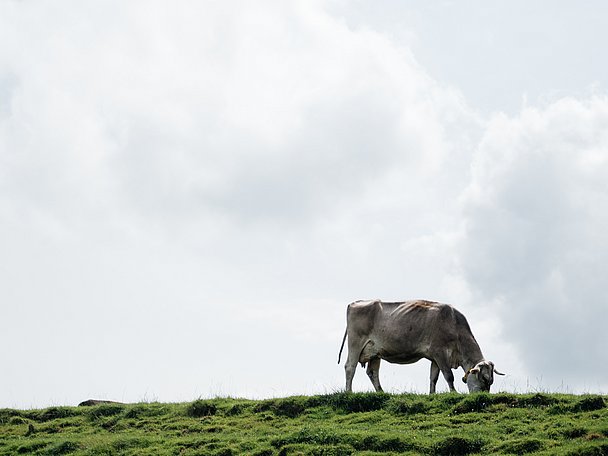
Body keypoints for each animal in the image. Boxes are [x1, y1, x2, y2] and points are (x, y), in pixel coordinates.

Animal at [338, 302, 504, 394]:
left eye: (491, 381)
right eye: (484, 378)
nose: (482, 397)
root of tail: (354, 303)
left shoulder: (435, 357)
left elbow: (434, 377)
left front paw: (432, 394)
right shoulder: (440, 352)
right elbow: (448, 375)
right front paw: (454, 392)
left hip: (375, 352)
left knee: (372, 372)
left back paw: (381, 392)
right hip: (355, 343)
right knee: (350, 367)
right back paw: (349, 392)